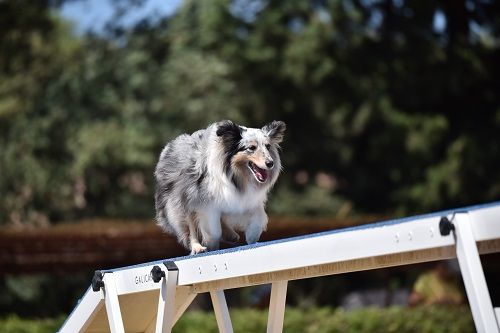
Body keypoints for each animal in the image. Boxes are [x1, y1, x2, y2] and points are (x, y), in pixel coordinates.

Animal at [154, 120, 286, 253]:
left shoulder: (248, 200)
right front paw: (210, 243)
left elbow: (257, 218)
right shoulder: (206, 204)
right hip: (184, 199)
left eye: (268, 146)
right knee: (191, 225)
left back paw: (231, 235)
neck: (238, 176)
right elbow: (213, 230)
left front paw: (252, 236)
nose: (270, 163)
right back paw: (197, 247)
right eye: (251, 148)